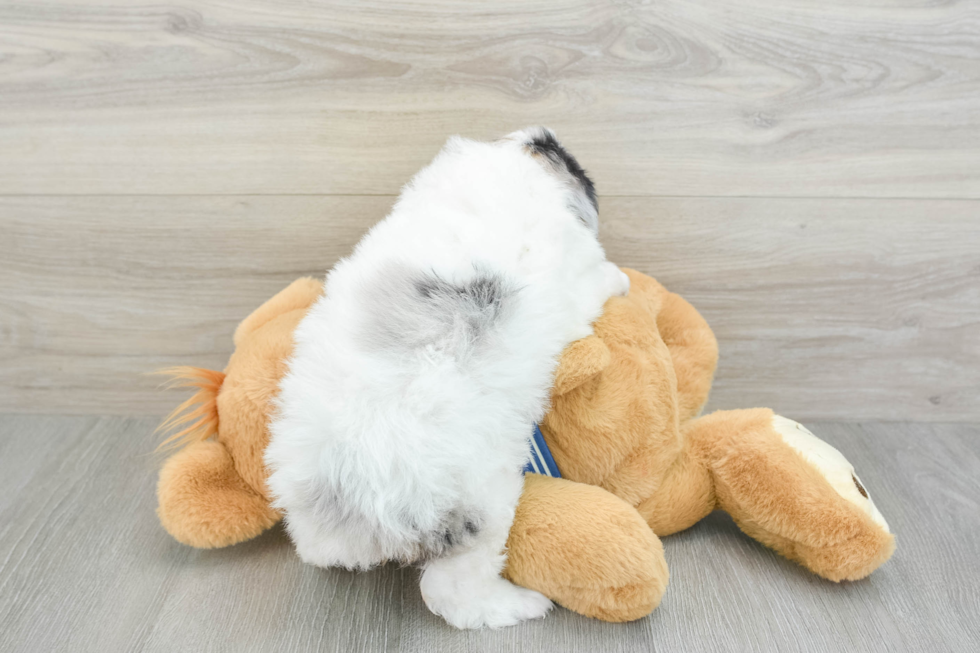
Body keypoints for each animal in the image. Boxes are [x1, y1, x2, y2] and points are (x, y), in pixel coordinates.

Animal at [264, 127, 632, 628]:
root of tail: (348, 491)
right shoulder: (576, 286)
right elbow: (600, 280)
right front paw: (622, 279)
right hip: (481, 507)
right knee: (455, 594)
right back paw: (521, 606)